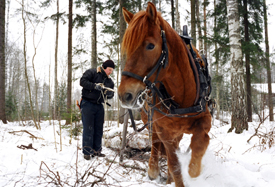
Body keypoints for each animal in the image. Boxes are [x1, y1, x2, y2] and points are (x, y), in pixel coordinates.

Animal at [117, 1, 212, 187]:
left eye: (150, 45)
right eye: (127, 48)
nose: (125, 94)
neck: (182, 96)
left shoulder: (205, 118)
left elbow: (198, 145)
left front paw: (194, 169)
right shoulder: (164, 130)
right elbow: (174, 164)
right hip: (152, 121)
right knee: (155, 144)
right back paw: (154, 169)